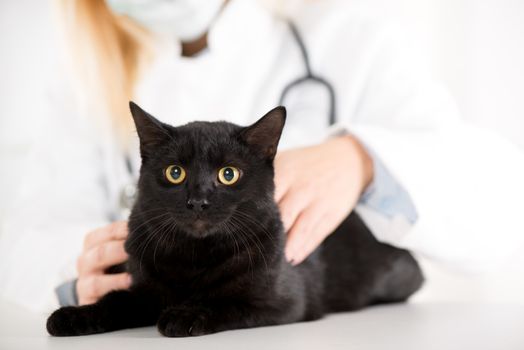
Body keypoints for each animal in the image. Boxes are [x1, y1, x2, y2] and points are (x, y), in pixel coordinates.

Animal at [45, 102, 424, 336]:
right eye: (175, 172)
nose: (198, 201)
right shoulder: (145, 290)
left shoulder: (282, 303)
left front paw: (185, 315)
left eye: (228, 174)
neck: (193, 258)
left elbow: (226, 303)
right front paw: (74, 315)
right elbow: (115, 300)